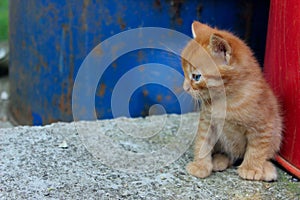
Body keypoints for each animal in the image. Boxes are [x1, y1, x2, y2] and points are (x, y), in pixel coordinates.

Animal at [182, 21, 282, 181]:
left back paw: (266, 169)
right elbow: (203, 142)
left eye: (196, 77)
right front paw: (200, 165)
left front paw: (250, 168)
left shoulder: (264, 126)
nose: (184, 88)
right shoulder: (207, 122)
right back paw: (220, 160)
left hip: (276, 134)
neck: (226, 100)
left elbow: (257, 148)